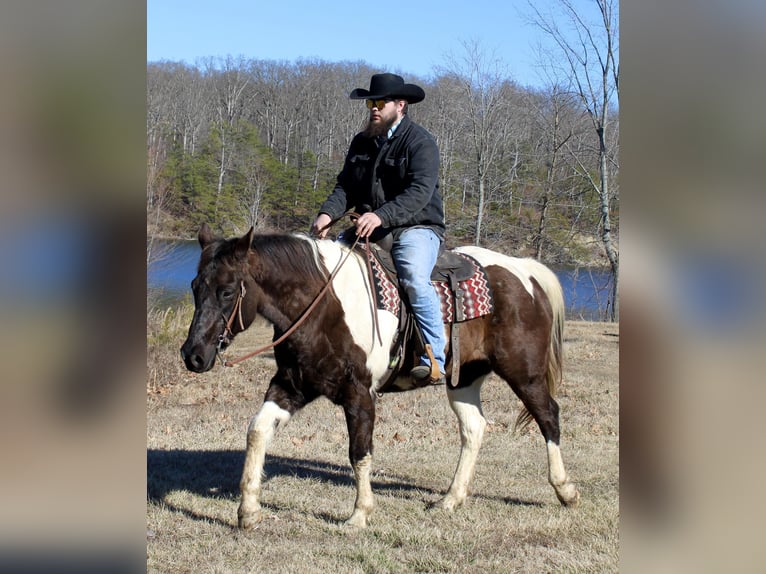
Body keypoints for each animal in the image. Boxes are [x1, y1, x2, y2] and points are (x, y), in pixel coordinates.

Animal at [180, 225, 580, 532]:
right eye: (195, 287)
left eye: (227, 291)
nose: (193, 355)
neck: (322, 305)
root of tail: (525, 271)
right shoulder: (292, 386)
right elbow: (257, 432)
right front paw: (248, 512)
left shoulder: (360, 395)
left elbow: (359, 453)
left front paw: (359, 515)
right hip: (464, 378)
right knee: (474, 428)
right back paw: (450, 499)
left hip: (524, 373)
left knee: (548, 416)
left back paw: (565, 490)